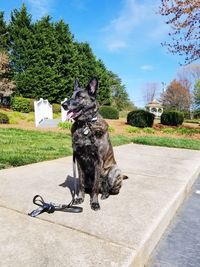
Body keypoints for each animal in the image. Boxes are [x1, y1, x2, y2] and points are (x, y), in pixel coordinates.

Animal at [62, 78, 128, 211]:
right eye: (71, 95)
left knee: (109, 189)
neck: (85, 125)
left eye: (80, 96)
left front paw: (94, 202)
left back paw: (105, 194)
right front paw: (80, 198)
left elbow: (96, 186)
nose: (64, 105)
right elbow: (81, 183)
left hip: (114, 171)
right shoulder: (79, 160)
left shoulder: (98, 161)